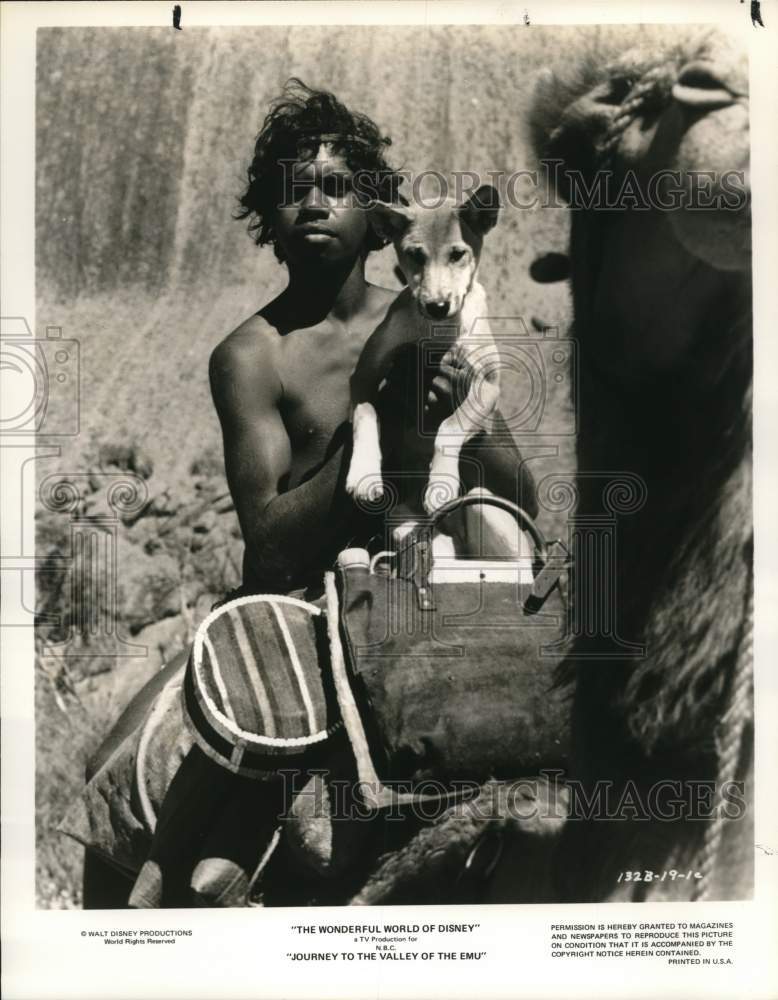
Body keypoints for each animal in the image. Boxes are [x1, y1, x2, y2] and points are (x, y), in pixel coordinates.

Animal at [344, 184, 500, 520]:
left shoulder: (489, 383)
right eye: (415, 255)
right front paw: (364, 474)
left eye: (457, 254)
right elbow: (366, 415)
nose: (437, 305)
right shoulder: (364, 373)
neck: (436, 329)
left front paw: (442, 482)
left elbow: (450, 426)